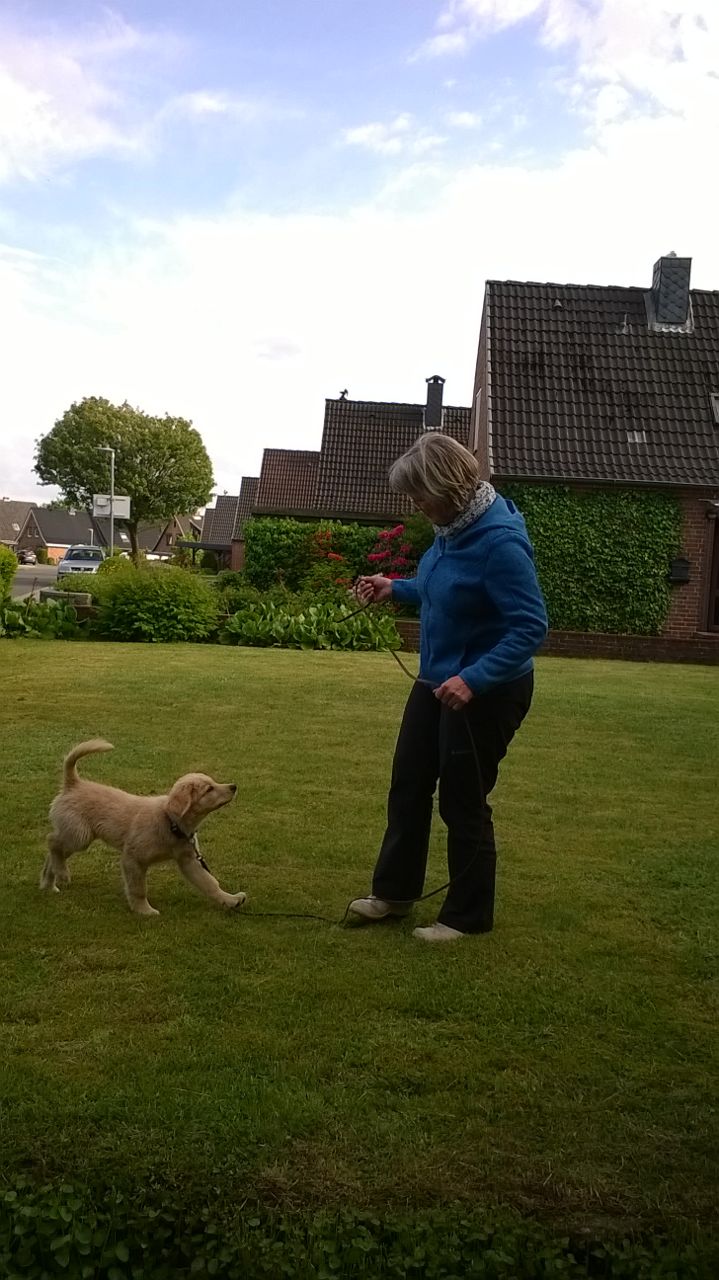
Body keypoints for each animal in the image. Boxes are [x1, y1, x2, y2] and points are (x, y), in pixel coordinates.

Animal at [41, 740, 246, 917]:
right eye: (209, 789)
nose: (234, 786)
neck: (170, 822)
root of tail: (74, 784)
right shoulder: (133, 859)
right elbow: (138, 889)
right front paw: (144, 910)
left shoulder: (189, 861)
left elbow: (209, 883)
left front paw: (230, 899)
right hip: (79, 836)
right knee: (52, 842)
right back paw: (62, 873)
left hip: (74, 835)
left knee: (53, 853)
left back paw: (48, 884)